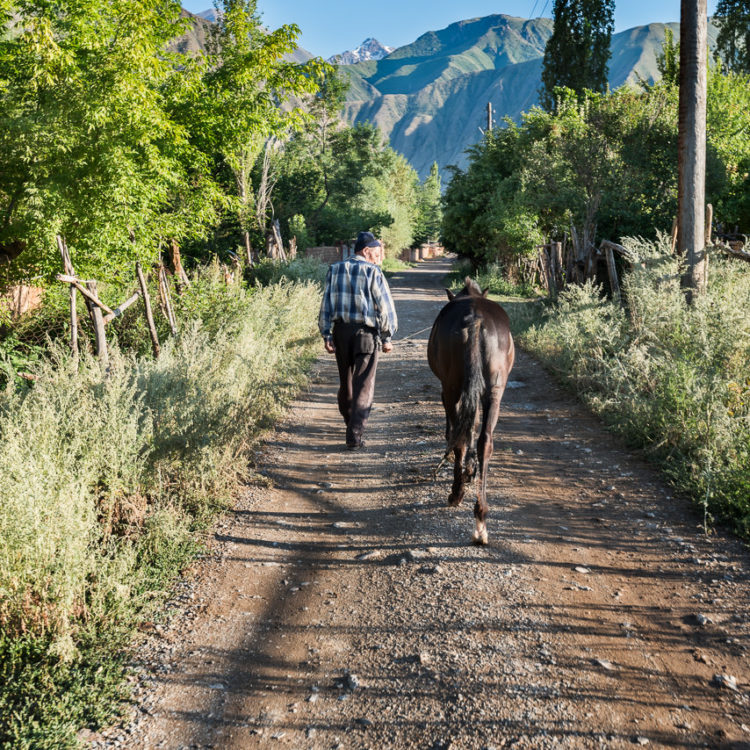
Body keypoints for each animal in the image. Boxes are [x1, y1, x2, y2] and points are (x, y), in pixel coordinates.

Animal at [428, 280, 516, 544]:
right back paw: (481, 519)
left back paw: (456, 494)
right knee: (485, 440)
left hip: (452, 387)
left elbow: (456, 431)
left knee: (459, 438)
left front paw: (465, 472)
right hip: (494, 390)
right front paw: (471, 470)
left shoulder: (448, 390)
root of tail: (476, 320)